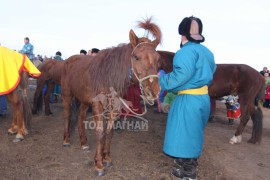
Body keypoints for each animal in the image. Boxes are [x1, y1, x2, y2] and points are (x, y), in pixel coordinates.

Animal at [61, 18, 161, 176]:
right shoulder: (97, 106)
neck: (108, 76)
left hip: (84, 101)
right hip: (67, 95)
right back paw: (66, 140)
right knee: (66, 115)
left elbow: (109, 131)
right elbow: (100, 132)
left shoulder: (114, 107)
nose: (154, 91)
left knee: (81, 117)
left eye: (158, 59)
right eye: (136, 57)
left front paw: (106, 157)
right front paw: (99, 164)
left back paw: (84, 143)